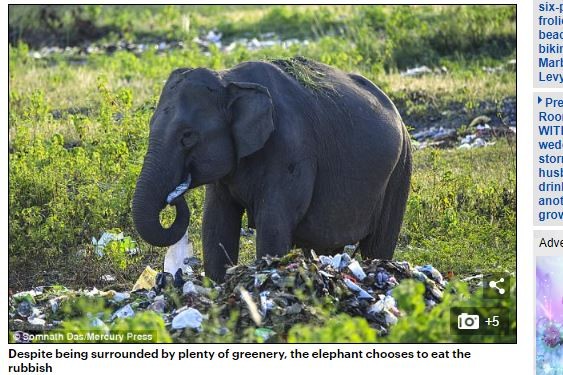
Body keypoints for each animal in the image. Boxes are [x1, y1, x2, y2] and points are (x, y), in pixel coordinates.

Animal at [133, 57, 414, 284]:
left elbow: (273, 223)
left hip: (400, 170)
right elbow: (216, 221)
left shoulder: (291, 150)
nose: (174, 197)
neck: (229, 79)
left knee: (377, 246)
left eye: (187, 136)